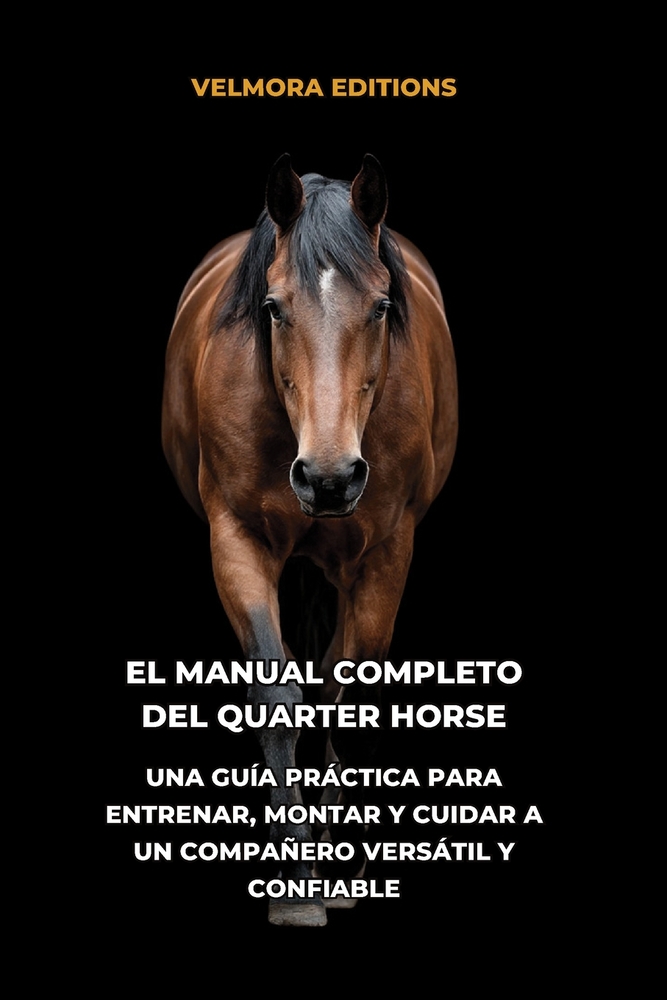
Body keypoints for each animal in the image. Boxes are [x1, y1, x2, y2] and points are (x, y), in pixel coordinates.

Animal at [161, 153, 458, 925]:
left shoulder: (387, 553)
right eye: (273, 308)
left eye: (380, 308)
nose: (329, 478)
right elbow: (276, 693)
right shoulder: (236, 542)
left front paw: (341, 867)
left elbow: (345, 697)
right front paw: (294, 881)